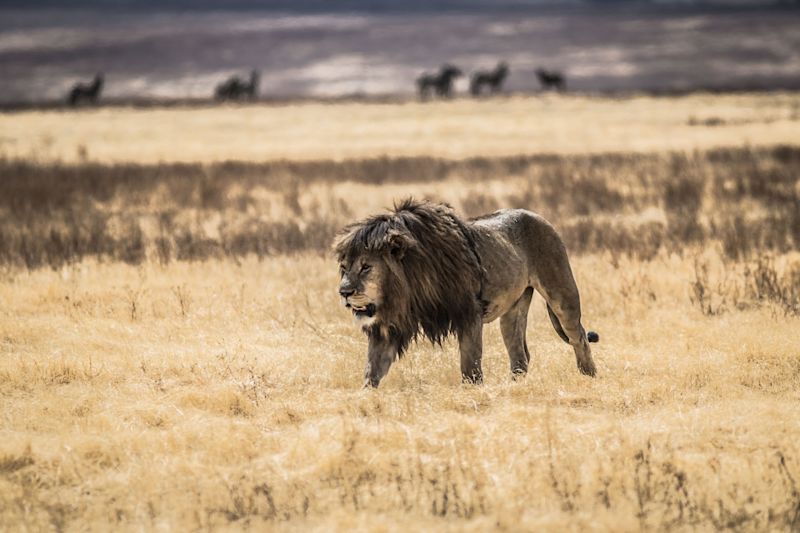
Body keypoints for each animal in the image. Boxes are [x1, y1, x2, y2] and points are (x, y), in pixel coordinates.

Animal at [332, 200, 600, 386]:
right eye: (344, 268)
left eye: (366, 267)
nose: (344, 292)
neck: (407, 288)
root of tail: (538, 216)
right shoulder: (388, 327)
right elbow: (373, 367)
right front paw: (364, 397)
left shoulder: (469, 312)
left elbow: (470, 362)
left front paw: (473, 390)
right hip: (513, 310)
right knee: (520, 354)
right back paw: (514, 386)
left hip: (562, 293)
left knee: (578, 336)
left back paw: (588, 376)